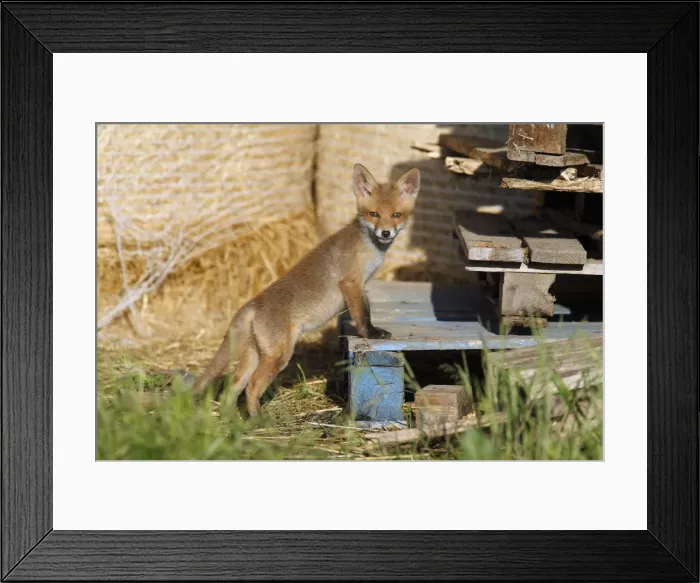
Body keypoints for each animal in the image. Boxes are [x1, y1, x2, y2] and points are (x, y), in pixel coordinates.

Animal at [190, 163, 421, 416]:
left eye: (396, 215)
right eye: (374, 214)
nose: (385, 233)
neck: (369, 246)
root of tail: (252, 304)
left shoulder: (361, 285)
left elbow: (364, 310)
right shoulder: (351, 282)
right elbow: (362, 315)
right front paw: (371, 334)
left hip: (254, 355)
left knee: (232, 387)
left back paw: (233, 420)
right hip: (278, 355)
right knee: (251, 387)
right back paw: (260, 421)